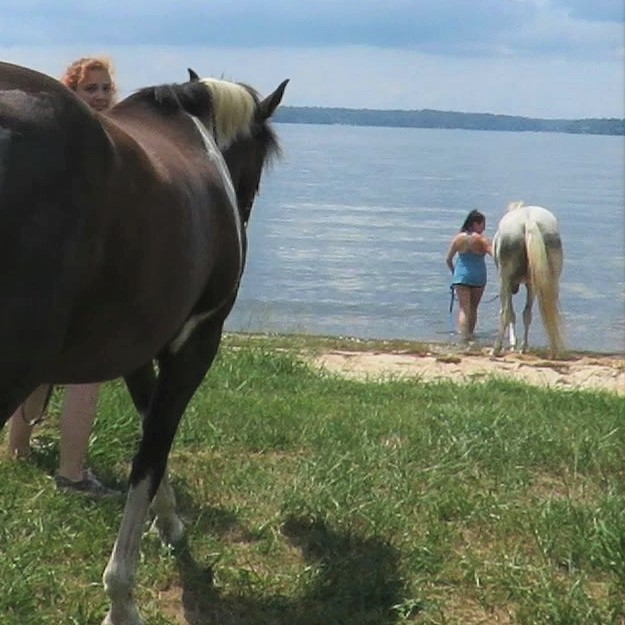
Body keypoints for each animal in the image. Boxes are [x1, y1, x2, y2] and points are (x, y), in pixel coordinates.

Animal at [0, 59, 288, 624]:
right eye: (259, 159)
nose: (244, 213)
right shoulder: (195, 344)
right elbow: (152, 451)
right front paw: (122, 598)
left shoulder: (136, 348)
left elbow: (151, 428)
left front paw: (169, 522)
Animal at [492, 200, 564, 356]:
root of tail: (528, 221)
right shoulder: (530, 284)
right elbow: (525, 313)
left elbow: (511, 313)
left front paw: (513, 344)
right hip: (549, 279)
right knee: (538, 311)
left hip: (504, 279)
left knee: (505, 312)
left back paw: (496, 349)